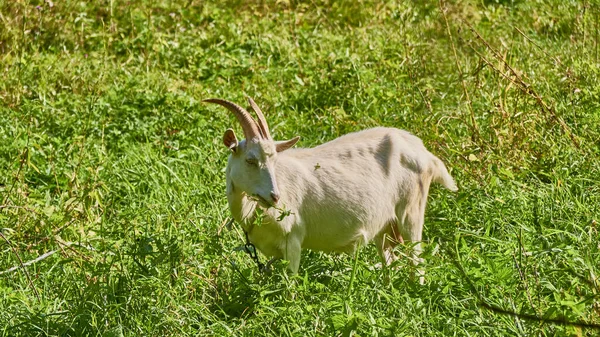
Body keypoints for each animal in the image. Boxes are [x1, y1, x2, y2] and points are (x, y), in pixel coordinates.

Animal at [204, 96, 458, 280]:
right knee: (390, 260)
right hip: (386, 225)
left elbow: (290, 284)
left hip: (411, 210)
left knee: (417, 259)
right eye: (250, 160)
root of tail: (422, 150)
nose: (275, 197)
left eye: (274, 160)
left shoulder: (293, 240)